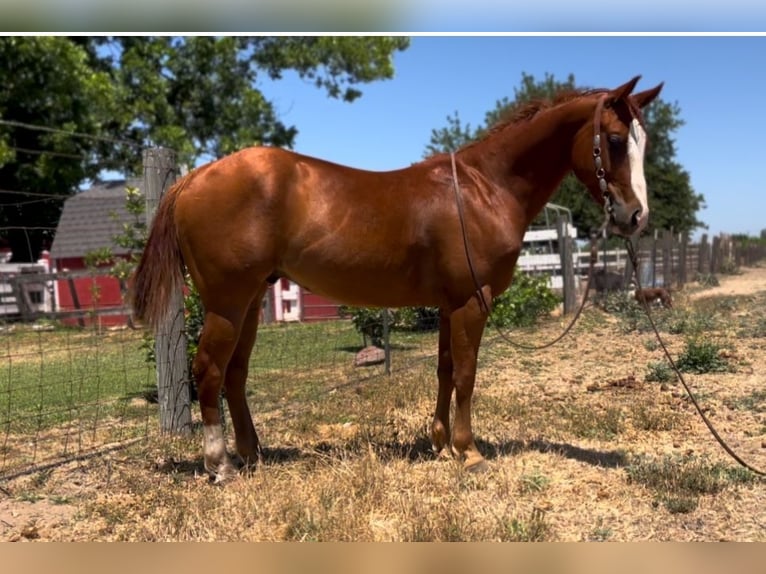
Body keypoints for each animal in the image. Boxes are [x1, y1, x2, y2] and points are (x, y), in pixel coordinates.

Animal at [130, 76, 663, 482]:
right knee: (209, 371)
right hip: (225, 302)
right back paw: (220, 465)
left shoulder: (451, 304)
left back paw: (252, 454)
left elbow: (446, 370)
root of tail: (192, 179)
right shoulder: (473, 300)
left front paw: (440, 443)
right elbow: (467, 374)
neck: (484, 188)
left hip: (248, 304)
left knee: (235, 375)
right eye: (616, 140)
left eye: (644, 142)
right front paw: (469, 452)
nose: (636, 217)